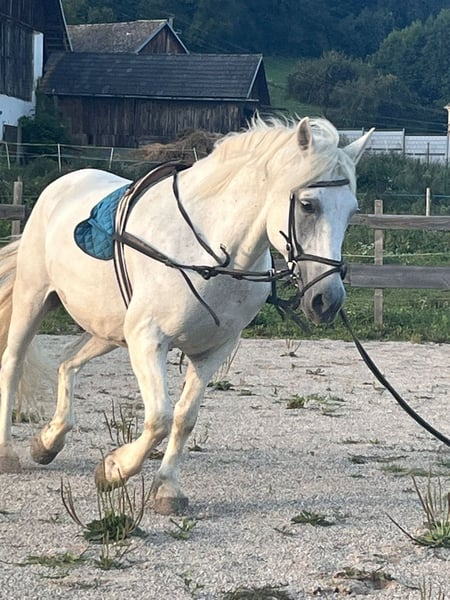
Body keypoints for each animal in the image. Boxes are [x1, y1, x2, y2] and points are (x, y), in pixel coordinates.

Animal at [0, 116, 373, 514]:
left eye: (352, 211)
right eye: (307, 205)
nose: (326, 300)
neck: (213, 257)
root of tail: (62, 184)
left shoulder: (212, 351)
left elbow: (184, 418)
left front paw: (166, 488)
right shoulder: (149, 341)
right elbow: (159, 419)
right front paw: (114, 469)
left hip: (110, 331)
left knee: (68, 363)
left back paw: (48, 442)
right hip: (33, 301)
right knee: (13, 364)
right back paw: (9, 452)